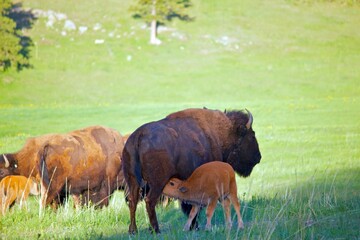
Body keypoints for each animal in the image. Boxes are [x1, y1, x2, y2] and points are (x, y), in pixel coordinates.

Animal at [121, 108, 262, 233]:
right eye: (252, 135)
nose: (258, 157)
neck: (220, 134)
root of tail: (139, 136)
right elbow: (193, 206)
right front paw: (195, 227)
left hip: (132, 180)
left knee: (133, 201)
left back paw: (133, 231)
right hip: (157, 183)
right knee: (150, 201)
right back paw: (155, 229)